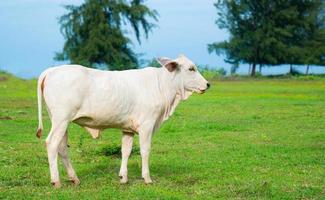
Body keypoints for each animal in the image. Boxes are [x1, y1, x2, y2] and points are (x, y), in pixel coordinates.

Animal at [34, 54, 208, 187]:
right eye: (191, 68)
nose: (208, 84)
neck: (162, 86)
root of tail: (51, 70)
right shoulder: (147, 126)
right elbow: (145, 151)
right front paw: (147, 178)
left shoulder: (128, 128)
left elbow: (126, 151)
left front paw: (123, 177)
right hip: (61, 119)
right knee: (52, 144)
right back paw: (56, 181)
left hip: (61, 121)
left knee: (62, 147)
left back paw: (74, 178)